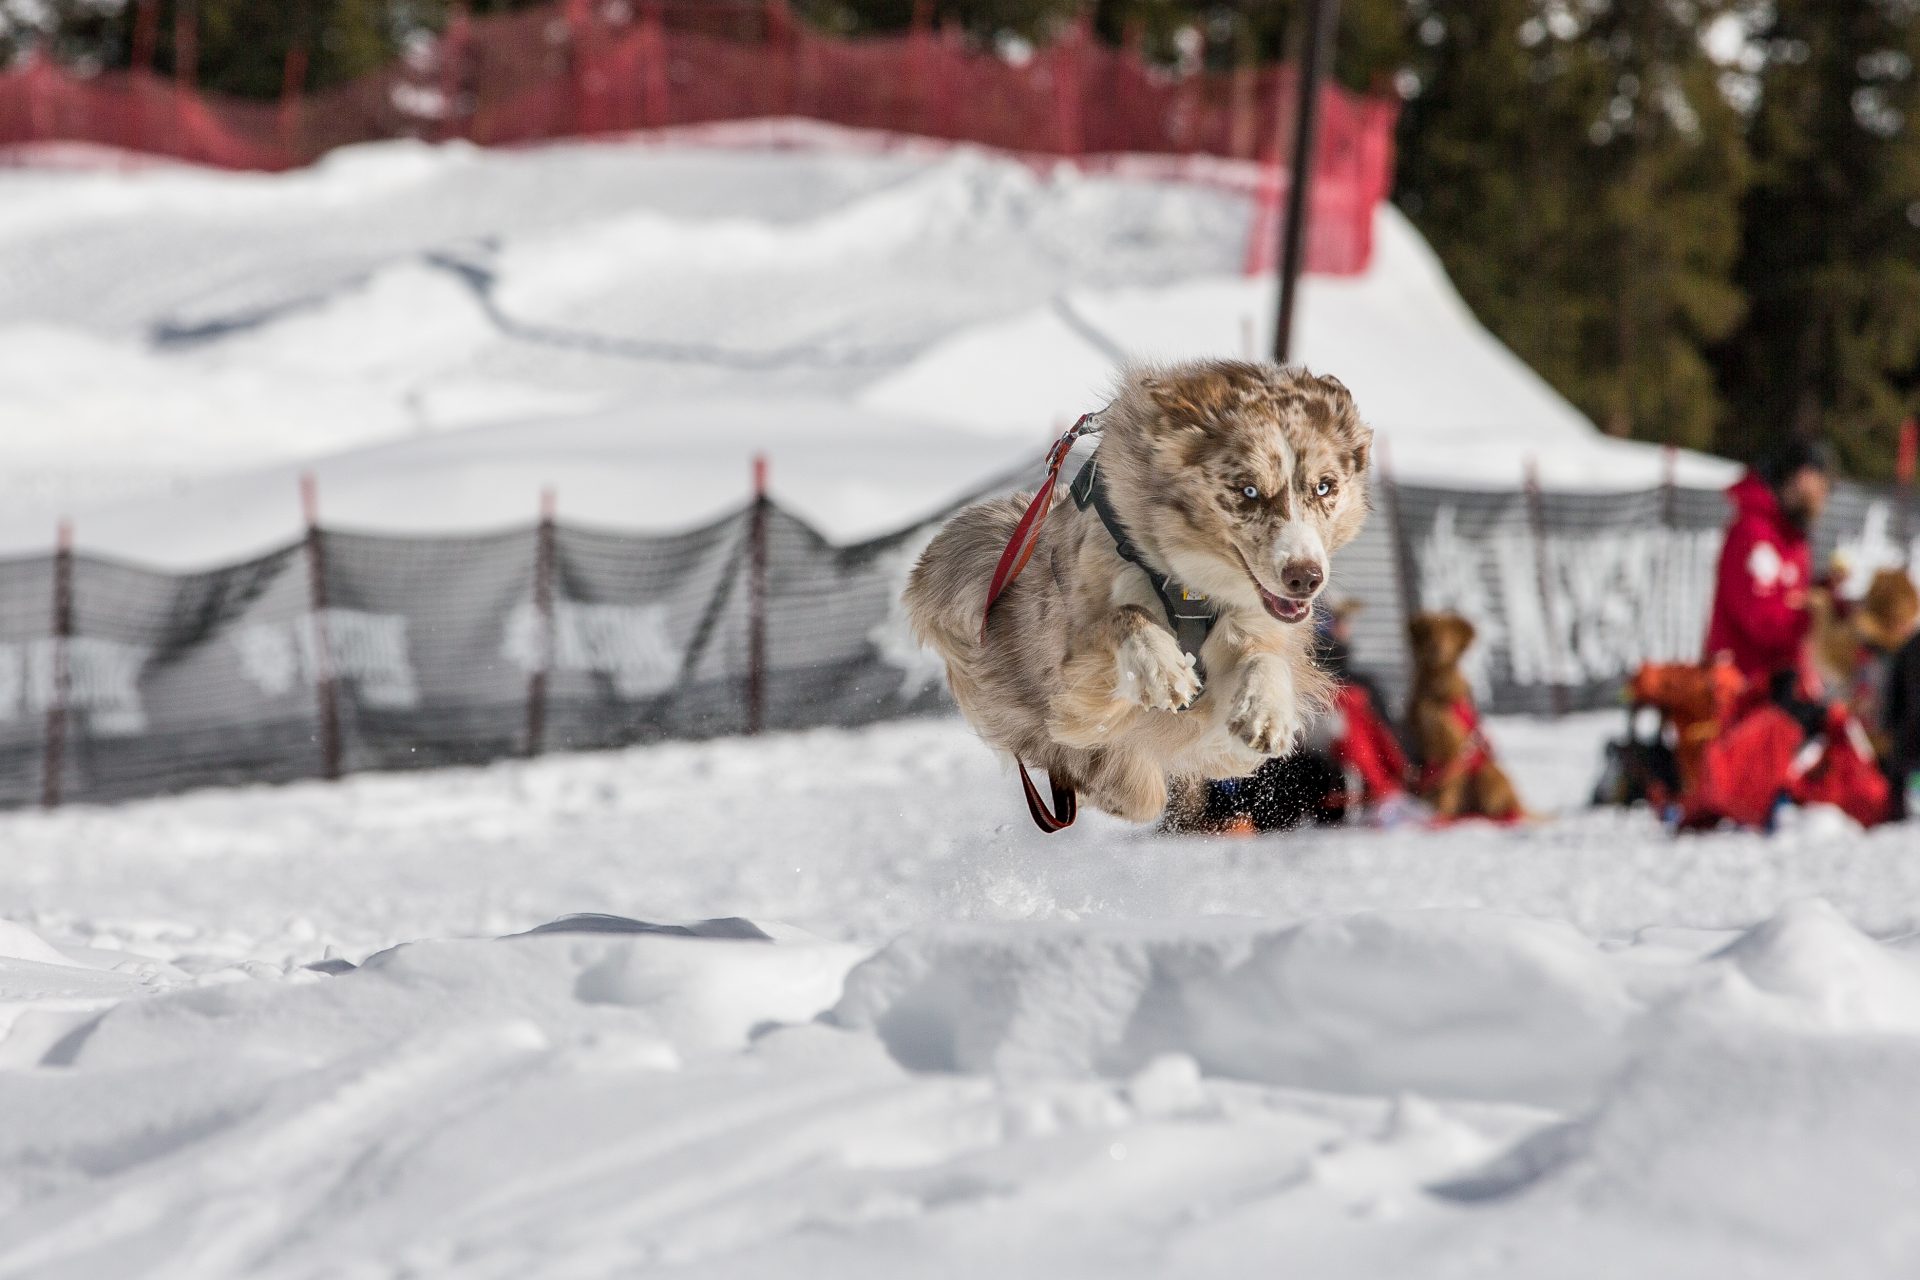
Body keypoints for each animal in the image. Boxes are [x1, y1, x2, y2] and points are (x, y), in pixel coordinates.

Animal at [906, 358, 1374, 821]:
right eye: (1248, 490)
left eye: (1325, 486)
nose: (1305, 577)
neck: (1190, 584)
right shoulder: (1071, 672)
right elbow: (1124, 616)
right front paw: (1162, 670)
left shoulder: (1250, 632)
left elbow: (1265, 660)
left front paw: (1266, 713)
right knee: (1121, 783)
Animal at [1405, 614, 1520, 825]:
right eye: (1429, 631)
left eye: (1449, 633)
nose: (1436, 647)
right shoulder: (1424, 745)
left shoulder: (1453, 748)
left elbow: (1447, 788)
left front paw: (1440, 814)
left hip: (1489, 775)